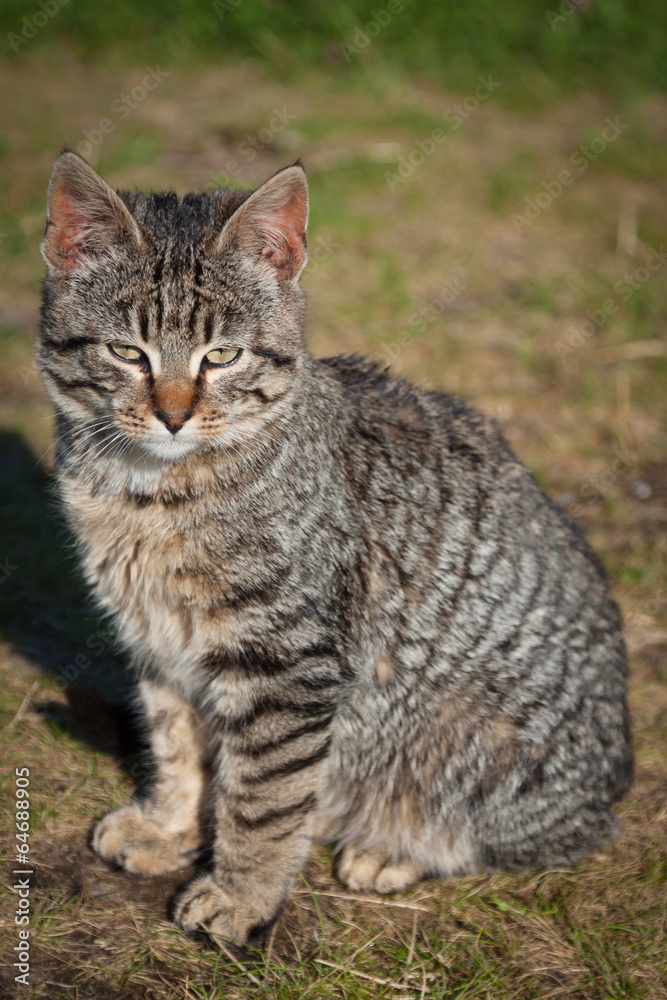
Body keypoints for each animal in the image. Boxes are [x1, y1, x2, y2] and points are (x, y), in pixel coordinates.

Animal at [39, 148, 636, 944]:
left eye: (222, 356)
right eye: (126, 352)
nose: (172, 415)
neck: (146, 492)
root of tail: (615, 771)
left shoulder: (289, 665)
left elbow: (263, 799)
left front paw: (241, 896)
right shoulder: (158, 641)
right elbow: (174, 745)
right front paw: (169, 826)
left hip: (474, 741)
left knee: (540, 834)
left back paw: (394, 848)